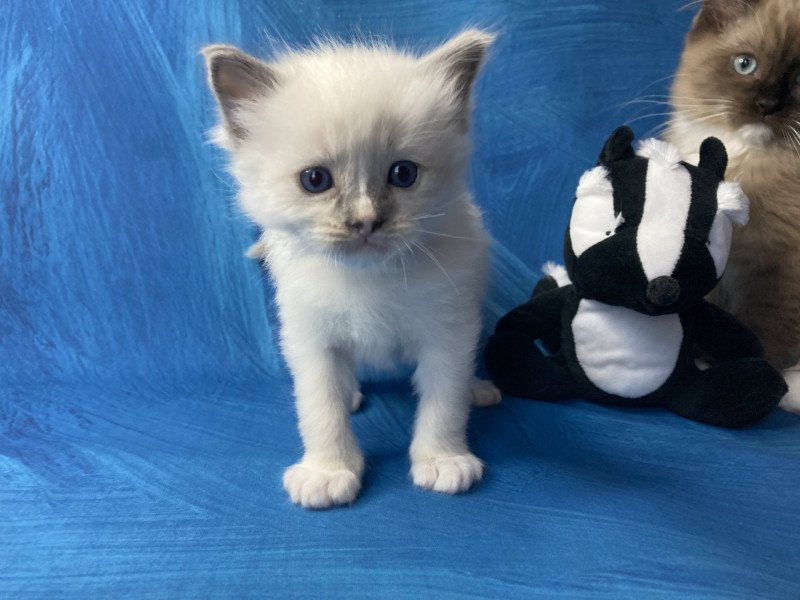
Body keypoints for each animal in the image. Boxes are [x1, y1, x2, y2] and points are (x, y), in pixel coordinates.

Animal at [203, 30, 496, 508]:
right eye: (315, 181)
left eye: (403, 173)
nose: (365, 221)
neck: (368, 279)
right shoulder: (311, 340)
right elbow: (320, 408)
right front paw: (328, 471)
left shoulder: (449, 333)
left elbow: (444, 403)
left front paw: (442, 460)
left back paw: (478, 389)